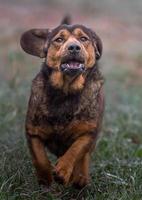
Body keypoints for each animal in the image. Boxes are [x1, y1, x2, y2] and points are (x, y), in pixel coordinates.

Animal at [20, 16, 104, 188]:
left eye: (83, 39)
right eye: (59, 39)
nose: (74, 47)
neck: (66, 91)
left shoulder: (89, 132)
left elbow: (76, 150)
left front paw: (64, 171)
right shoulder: (32, 132)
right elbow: (39, 158)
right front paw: (45, 177)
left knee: (85, 156)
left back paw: (80, 177)